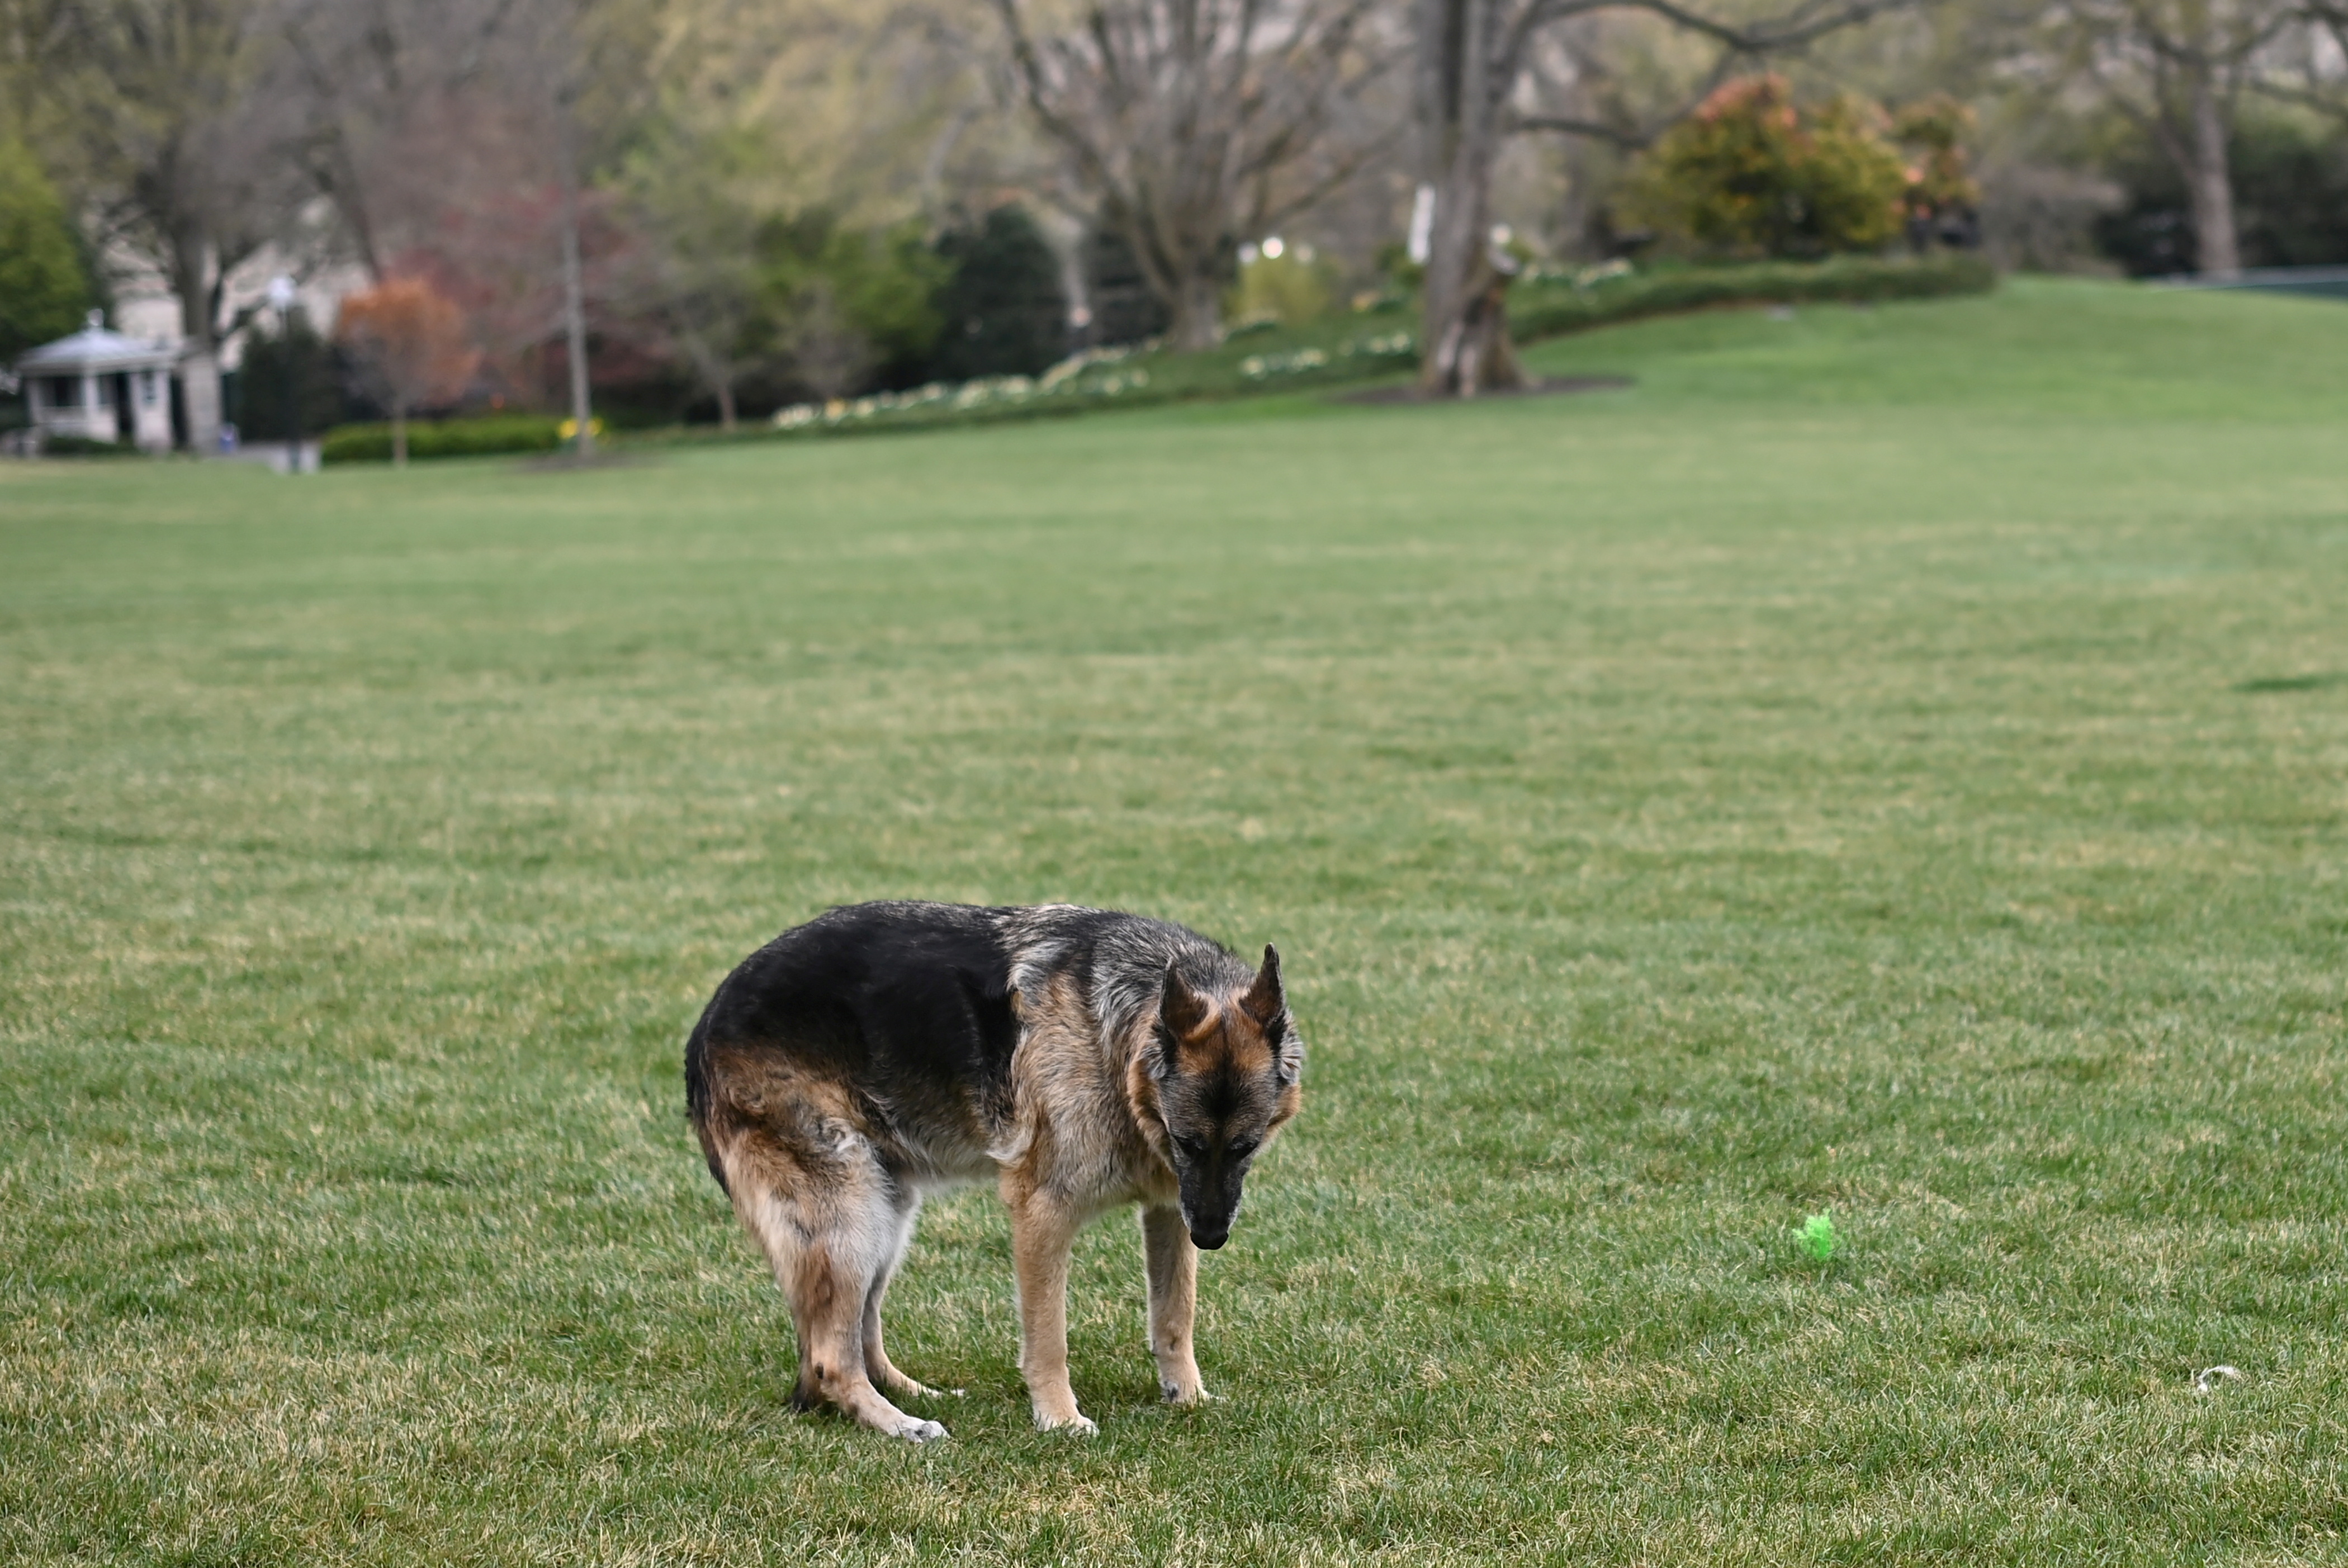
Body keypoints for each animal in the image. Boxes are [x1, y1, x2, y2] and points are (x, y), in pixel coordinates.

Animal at [681, 901, 1305, 1436]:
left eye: (1247, 1146)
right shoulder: (1043, 1213)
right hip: (850, 1216)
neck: (1113, 1034)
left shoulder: (1169, 1209)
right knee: (829, 1359)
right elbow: (1049, 1335)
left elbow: (1175, 1315)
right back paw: (900, 1426)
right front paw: (1059, 1418)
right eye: (1187, 1142)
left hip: (886, 1216)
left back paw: (912, 1394)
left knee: (858, 1337)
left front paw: (1188, 1397)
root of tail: (702, 1030)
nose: (1213, 1237)